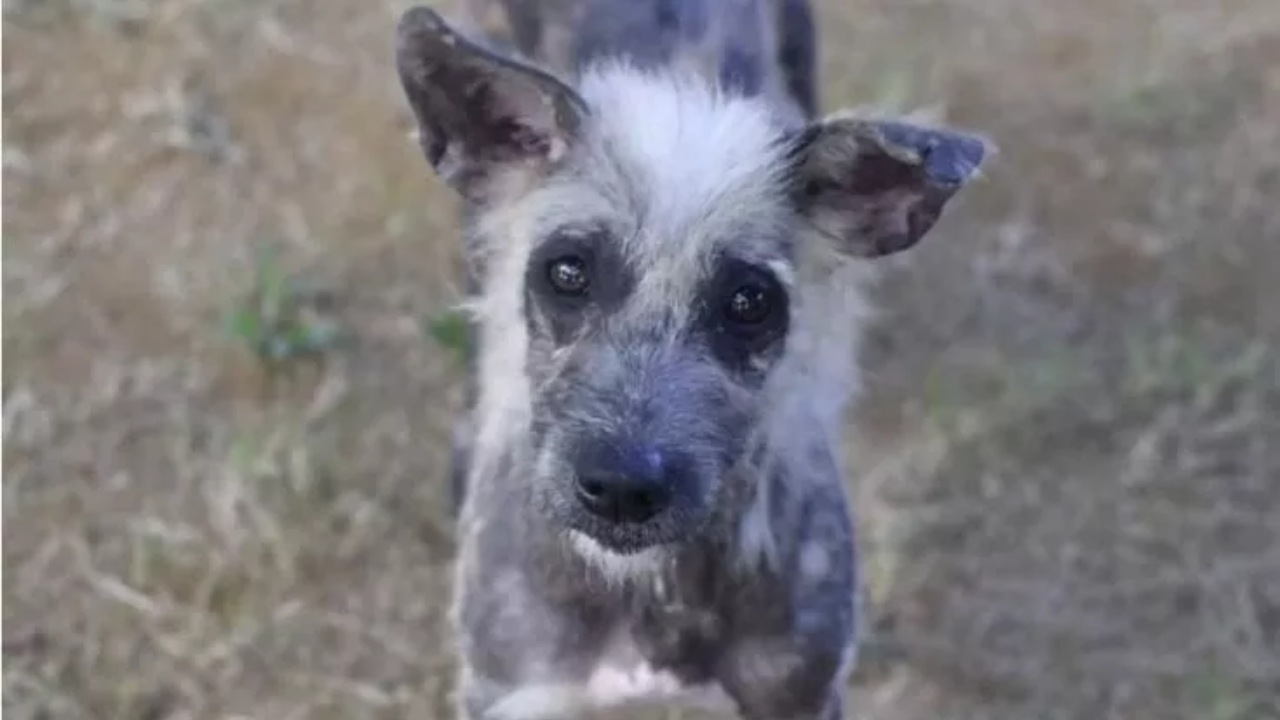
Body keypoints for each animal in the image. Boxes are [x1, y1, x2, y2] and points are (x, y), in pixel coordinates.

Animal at [394, 2, 983, 712]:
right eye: (567, 272)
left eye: (750, 301)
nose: (622, 489)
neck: (650, 588)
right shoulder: (517, 694)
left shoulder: (800, 693)